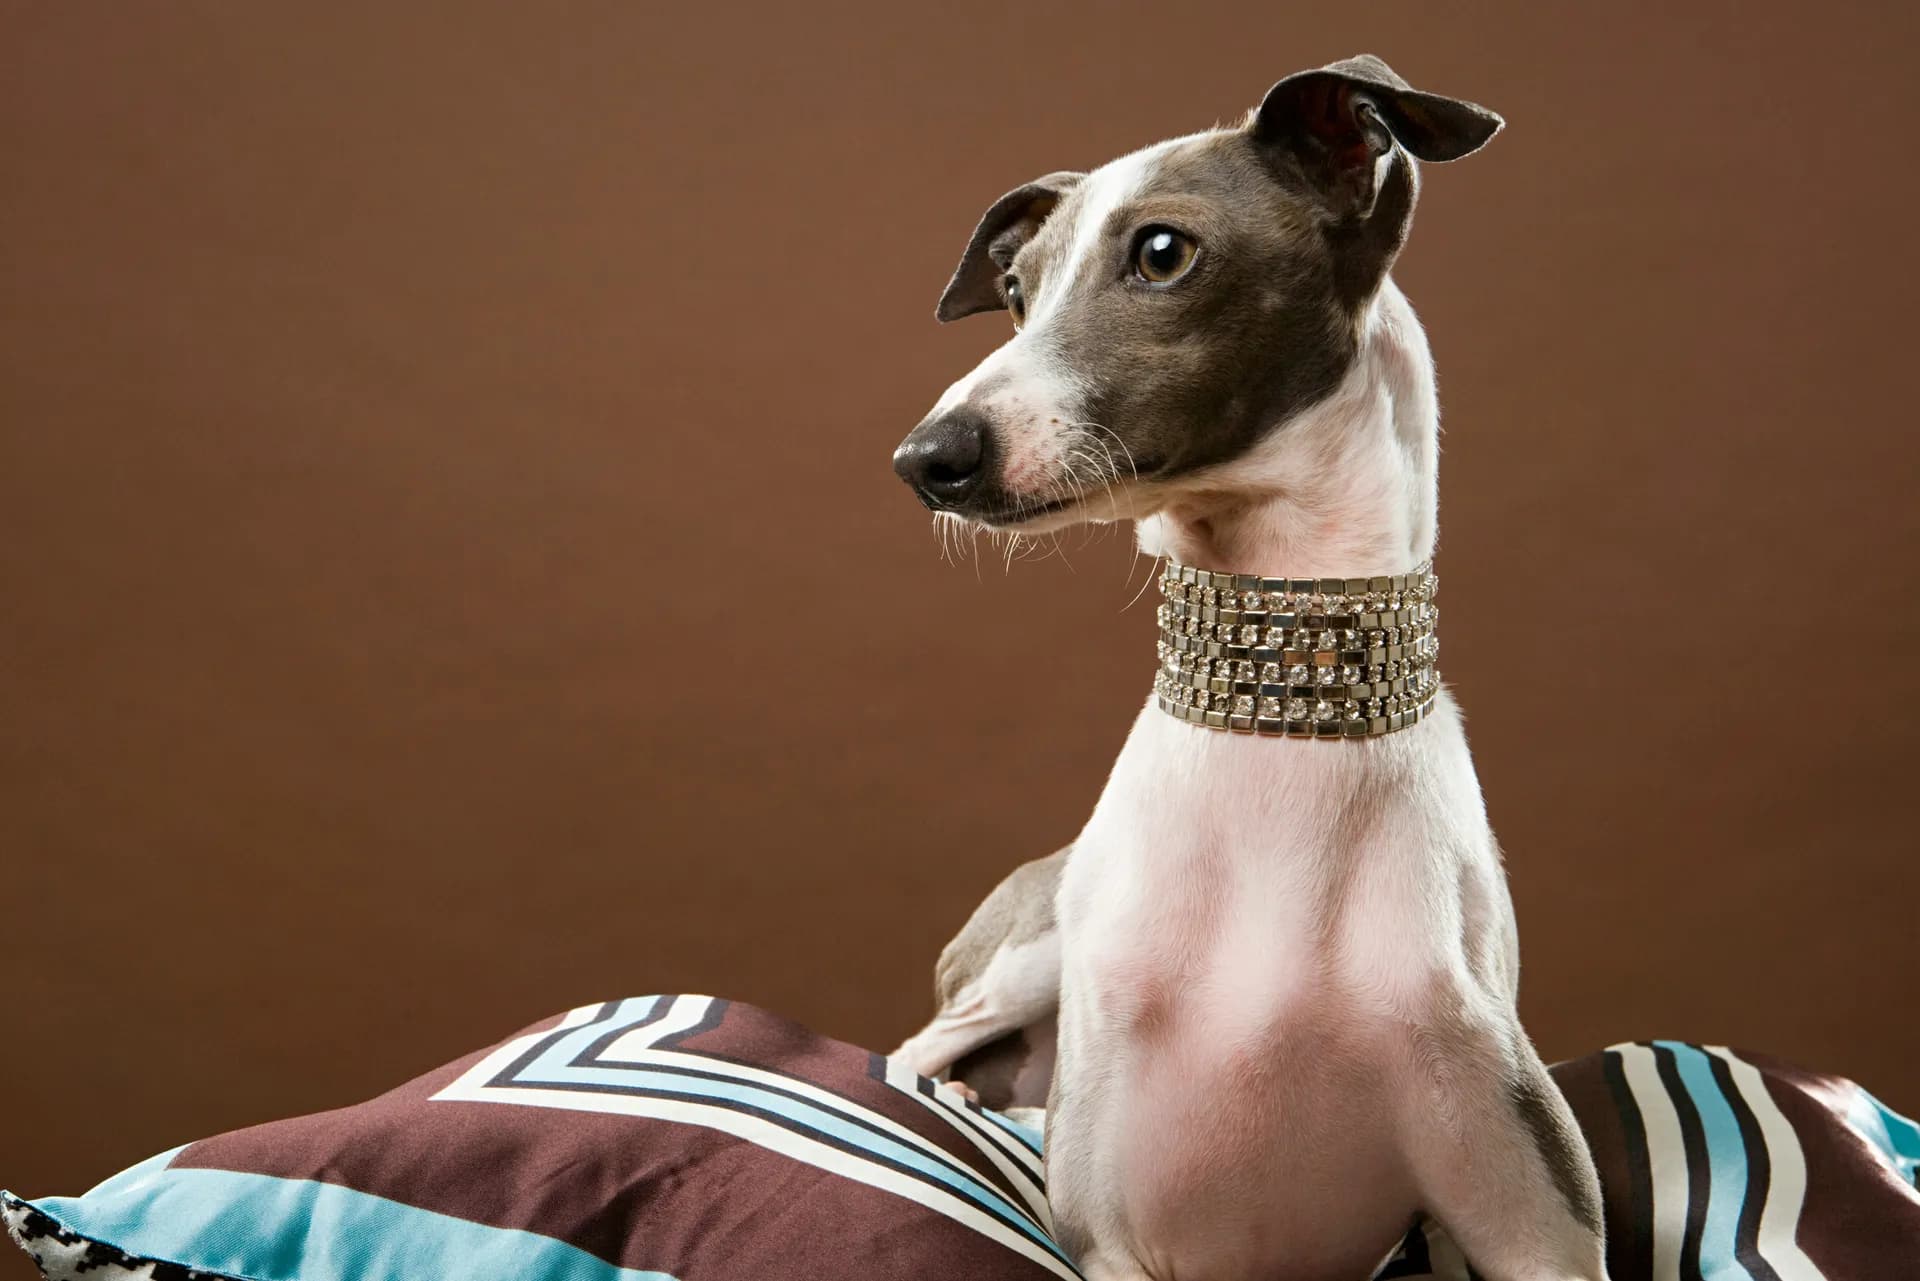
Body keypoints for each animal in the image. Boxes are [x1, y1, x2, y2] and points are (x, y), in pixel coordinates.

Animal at [890, 57, 1612, 1281]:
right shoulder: (1112, 1241)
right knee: (913, 1055)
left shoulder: (1530, 1222)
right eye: (1020, 289)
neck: (1281, 743)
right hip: (1026, 954)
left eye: (1162, 251)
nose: (928, 458)